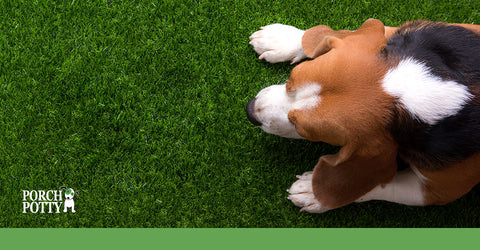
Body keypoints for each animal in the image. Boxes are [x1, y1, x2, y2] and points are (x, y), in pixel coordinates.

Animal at [248, 18, 480, 212]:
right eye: (291, 79)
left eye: (300, 129)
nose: (250, 111)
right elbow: (358, 31)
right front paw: (285, 39)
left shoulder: (440, 190)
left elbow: (379, 184)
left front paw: (315, 193)